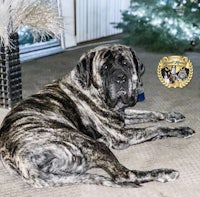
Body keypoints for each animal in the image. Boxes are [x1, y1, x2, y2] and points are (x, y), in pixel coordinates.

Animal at [0, 44, 195, 188]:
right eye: (105, 68)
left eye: (126, 64)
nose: (120, 78)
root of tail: (23, 163)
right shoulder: (122, 134)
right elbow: (155, 127)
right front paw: (174, 130)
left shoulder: (121, 117)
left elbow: (151, 114)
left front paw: (174, 118)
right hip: (90, 144)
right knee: (124, 175)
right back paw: (164, 172)